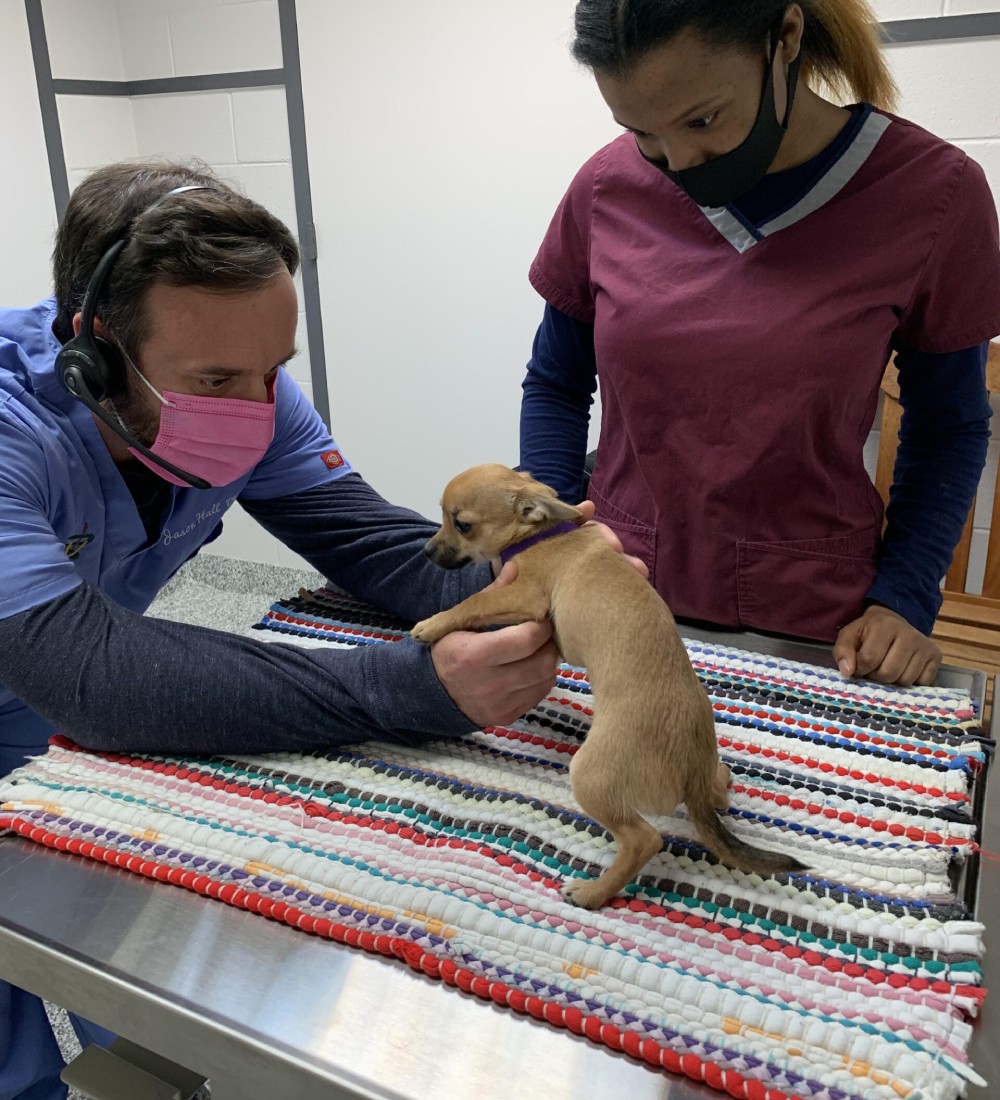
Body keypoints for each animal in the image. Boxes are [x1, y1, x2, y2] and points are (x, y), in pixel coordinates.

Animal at [409, 464, 809, 910]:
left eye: (462, 524)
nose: (426, 552)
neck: (541, 534)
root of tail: (691, 771)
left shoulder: (523, 596)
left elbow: (473, 603)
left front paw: (433, 624)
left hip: (591, 778)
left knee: (644, 840)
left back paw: (592, 892)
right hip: (697, 779)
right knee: (716, 794)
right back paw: (720, 783)